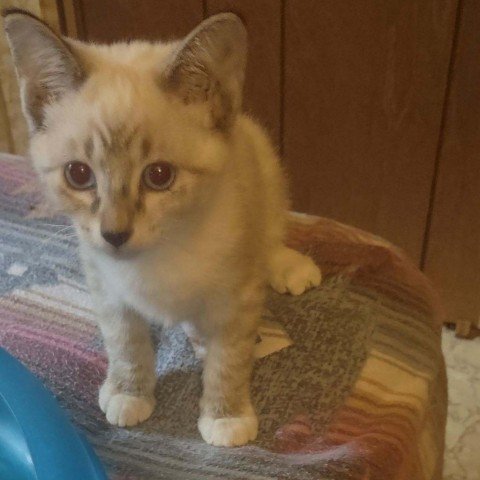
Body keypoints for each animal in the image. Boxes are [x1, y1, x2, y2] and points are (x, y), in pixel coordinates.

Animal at [4, 9, 322, 448]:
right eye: (78, 174)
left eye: (158, 176)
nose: (114, 235)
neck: (162, 252)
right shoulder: (105, 286)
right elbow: (125, 344)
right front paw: (128, 393)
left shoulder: (237, 300)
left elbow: (229, 361)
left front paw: (226, 417)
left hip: (265, 164)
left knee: (272, 232)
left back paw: (288, 269)